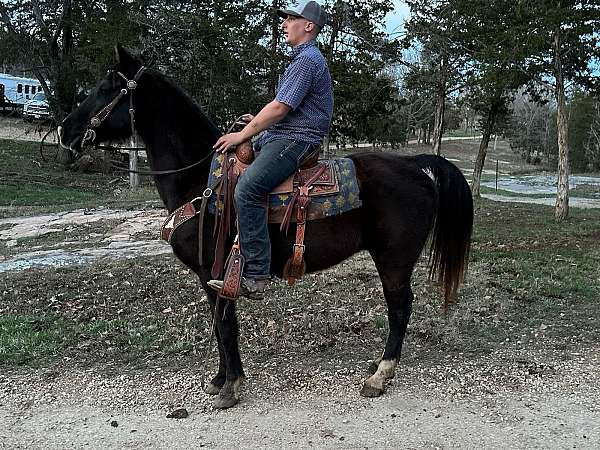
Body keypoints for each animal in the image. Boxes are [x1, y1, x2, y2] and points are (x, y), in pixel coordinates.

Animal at [59, 45, 474, 408]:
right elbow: (220, 325)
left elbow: (226, 327)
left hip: (394, 261)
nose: (64, 131)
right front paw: (219, 380)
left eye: (106, 87)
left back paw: (379, 376)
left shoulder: (215, 272)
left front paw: (231, 387)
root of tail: (416, 164)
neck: (200, 178)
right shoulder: (211, 276)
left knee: (400, 309)